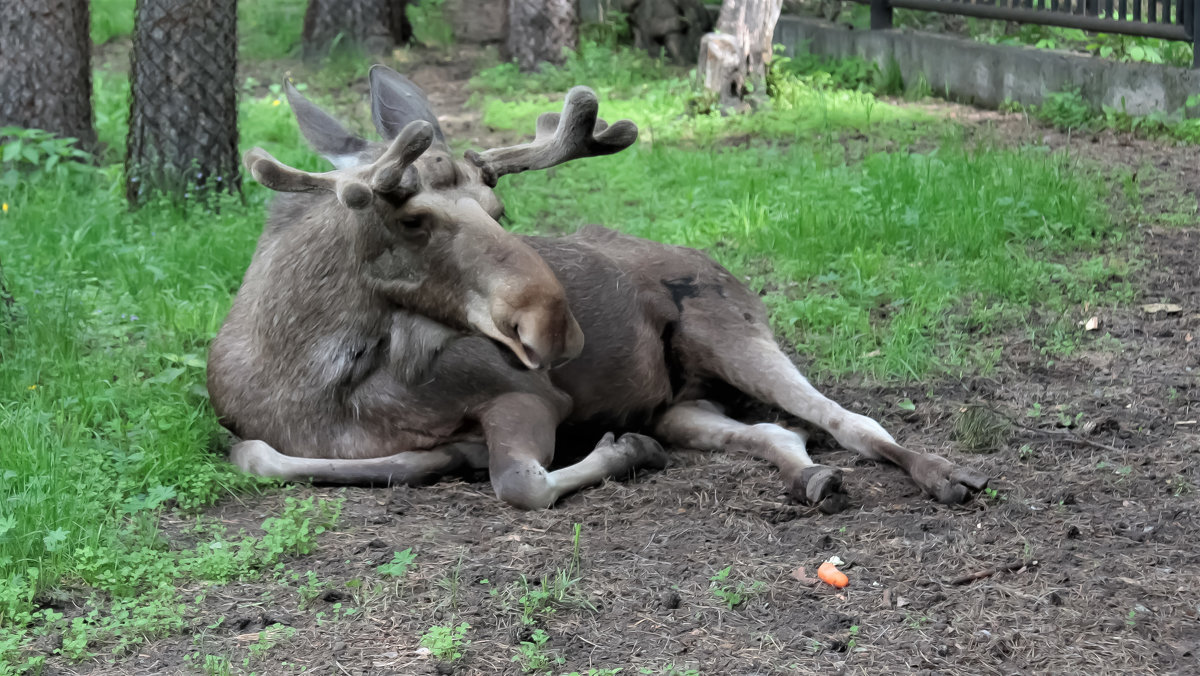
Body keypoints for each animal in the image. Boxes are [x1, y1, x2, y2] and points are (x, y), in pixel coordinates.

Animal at [206, 67, 988, 513]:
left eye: (498, 209)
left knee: (849, 422)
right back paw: (810, 481)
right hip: (681, 406)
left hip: (733, 332)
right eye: (410, 216)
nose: (555, 325)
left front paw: (621, 454)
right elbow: (257, 456)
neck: (310, 380)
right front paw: (445, 456)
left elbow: (520, 483)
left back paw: (946, 475)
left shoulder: (528, 394)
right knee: (777, 432)